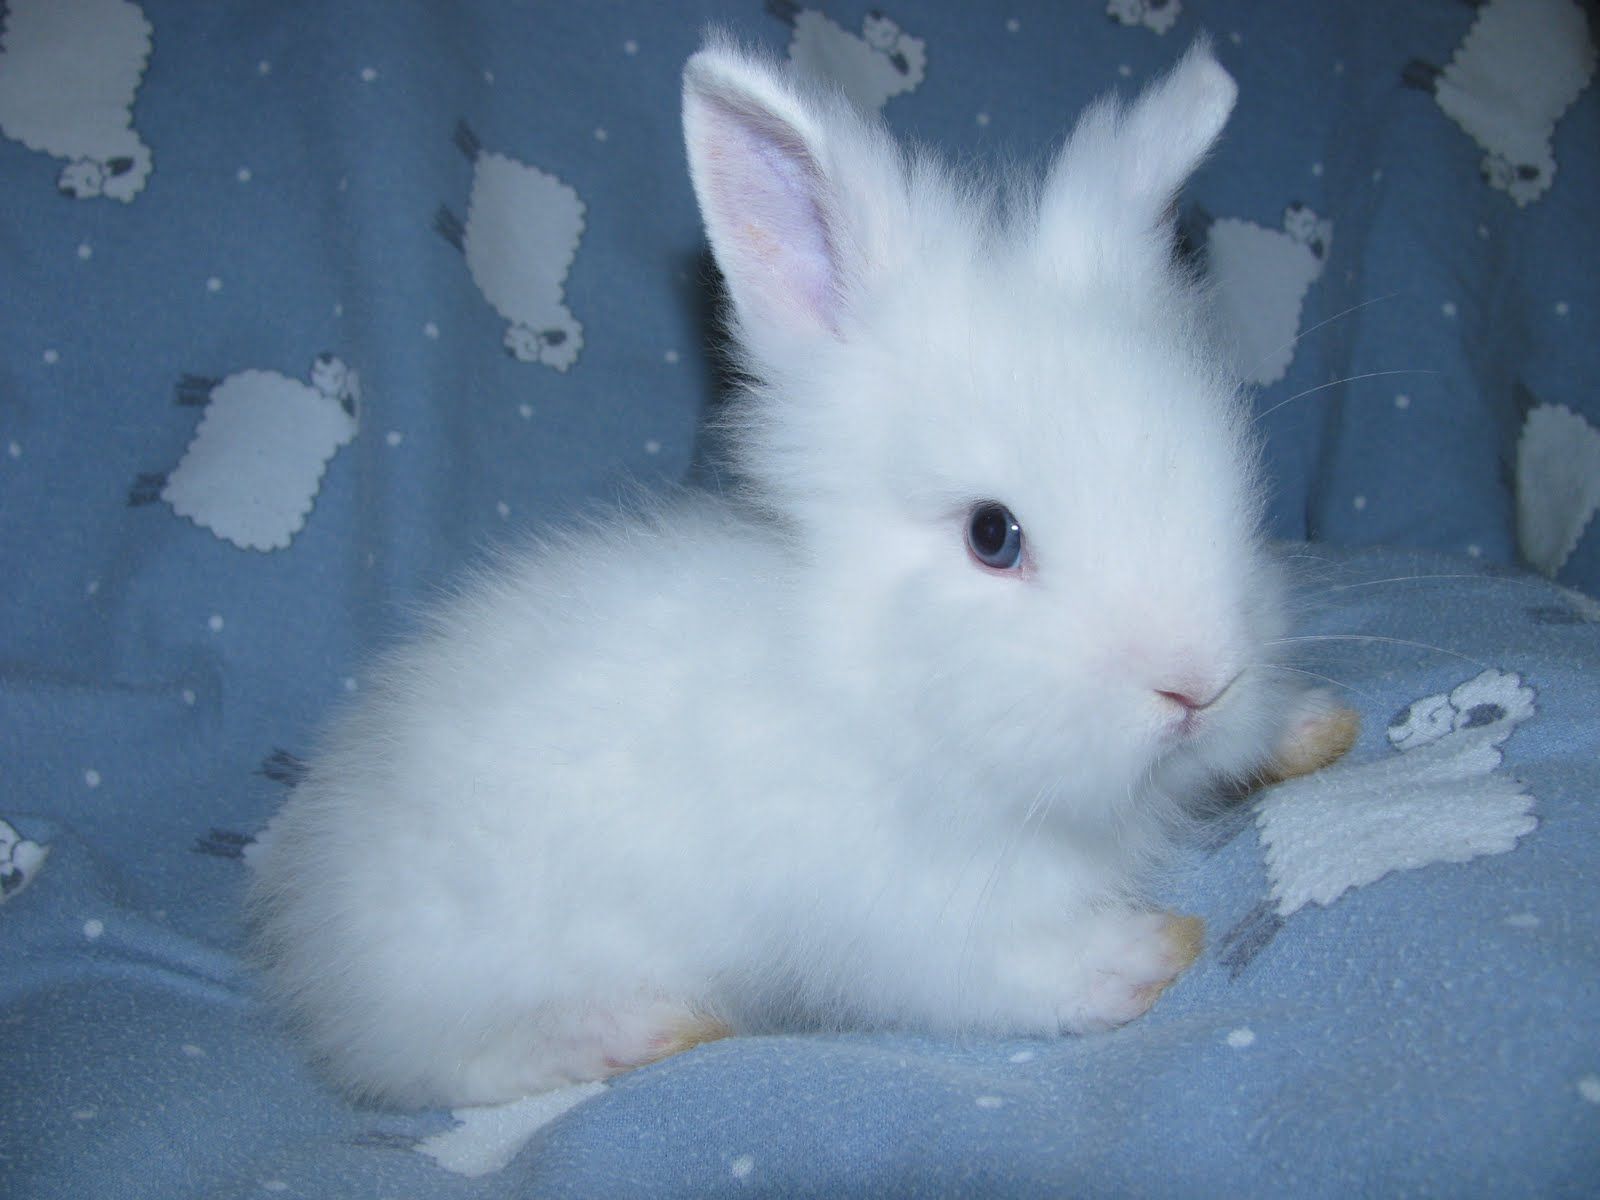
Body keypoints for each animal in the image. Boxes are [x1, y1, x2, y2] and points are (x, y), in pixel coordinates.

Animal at [246, 36, 1358, 1109]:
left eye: (1227, 489)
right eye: (992, 535)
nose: (1199, 686)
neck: (880, 685)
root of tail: (308, 917)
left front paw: (1315, 727)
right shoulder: (900, 918)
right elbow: (999, 974)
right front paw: (1143, 954)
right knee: (450, 1068)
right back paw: (635, 1030)